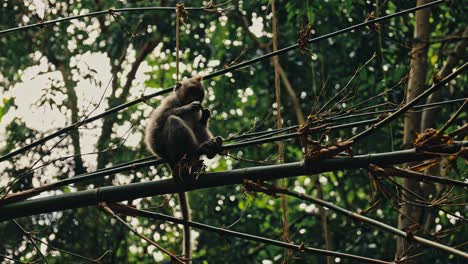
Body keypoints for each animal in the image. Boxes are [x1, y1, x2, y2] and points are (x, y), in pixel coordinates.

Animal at [144, 75, 221, 262]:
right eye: (191, 91)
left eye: (199, 94)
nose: (195, 100)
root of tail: (172, 162)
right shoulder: (170, 102)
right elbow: (157, 127)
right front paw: (188, 107)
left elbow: (198, 119)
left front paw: (204, 115)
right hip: (172, 149)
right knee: (172, 121)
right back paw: (199, 148)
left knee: (196, 126)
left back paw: (210, 147)